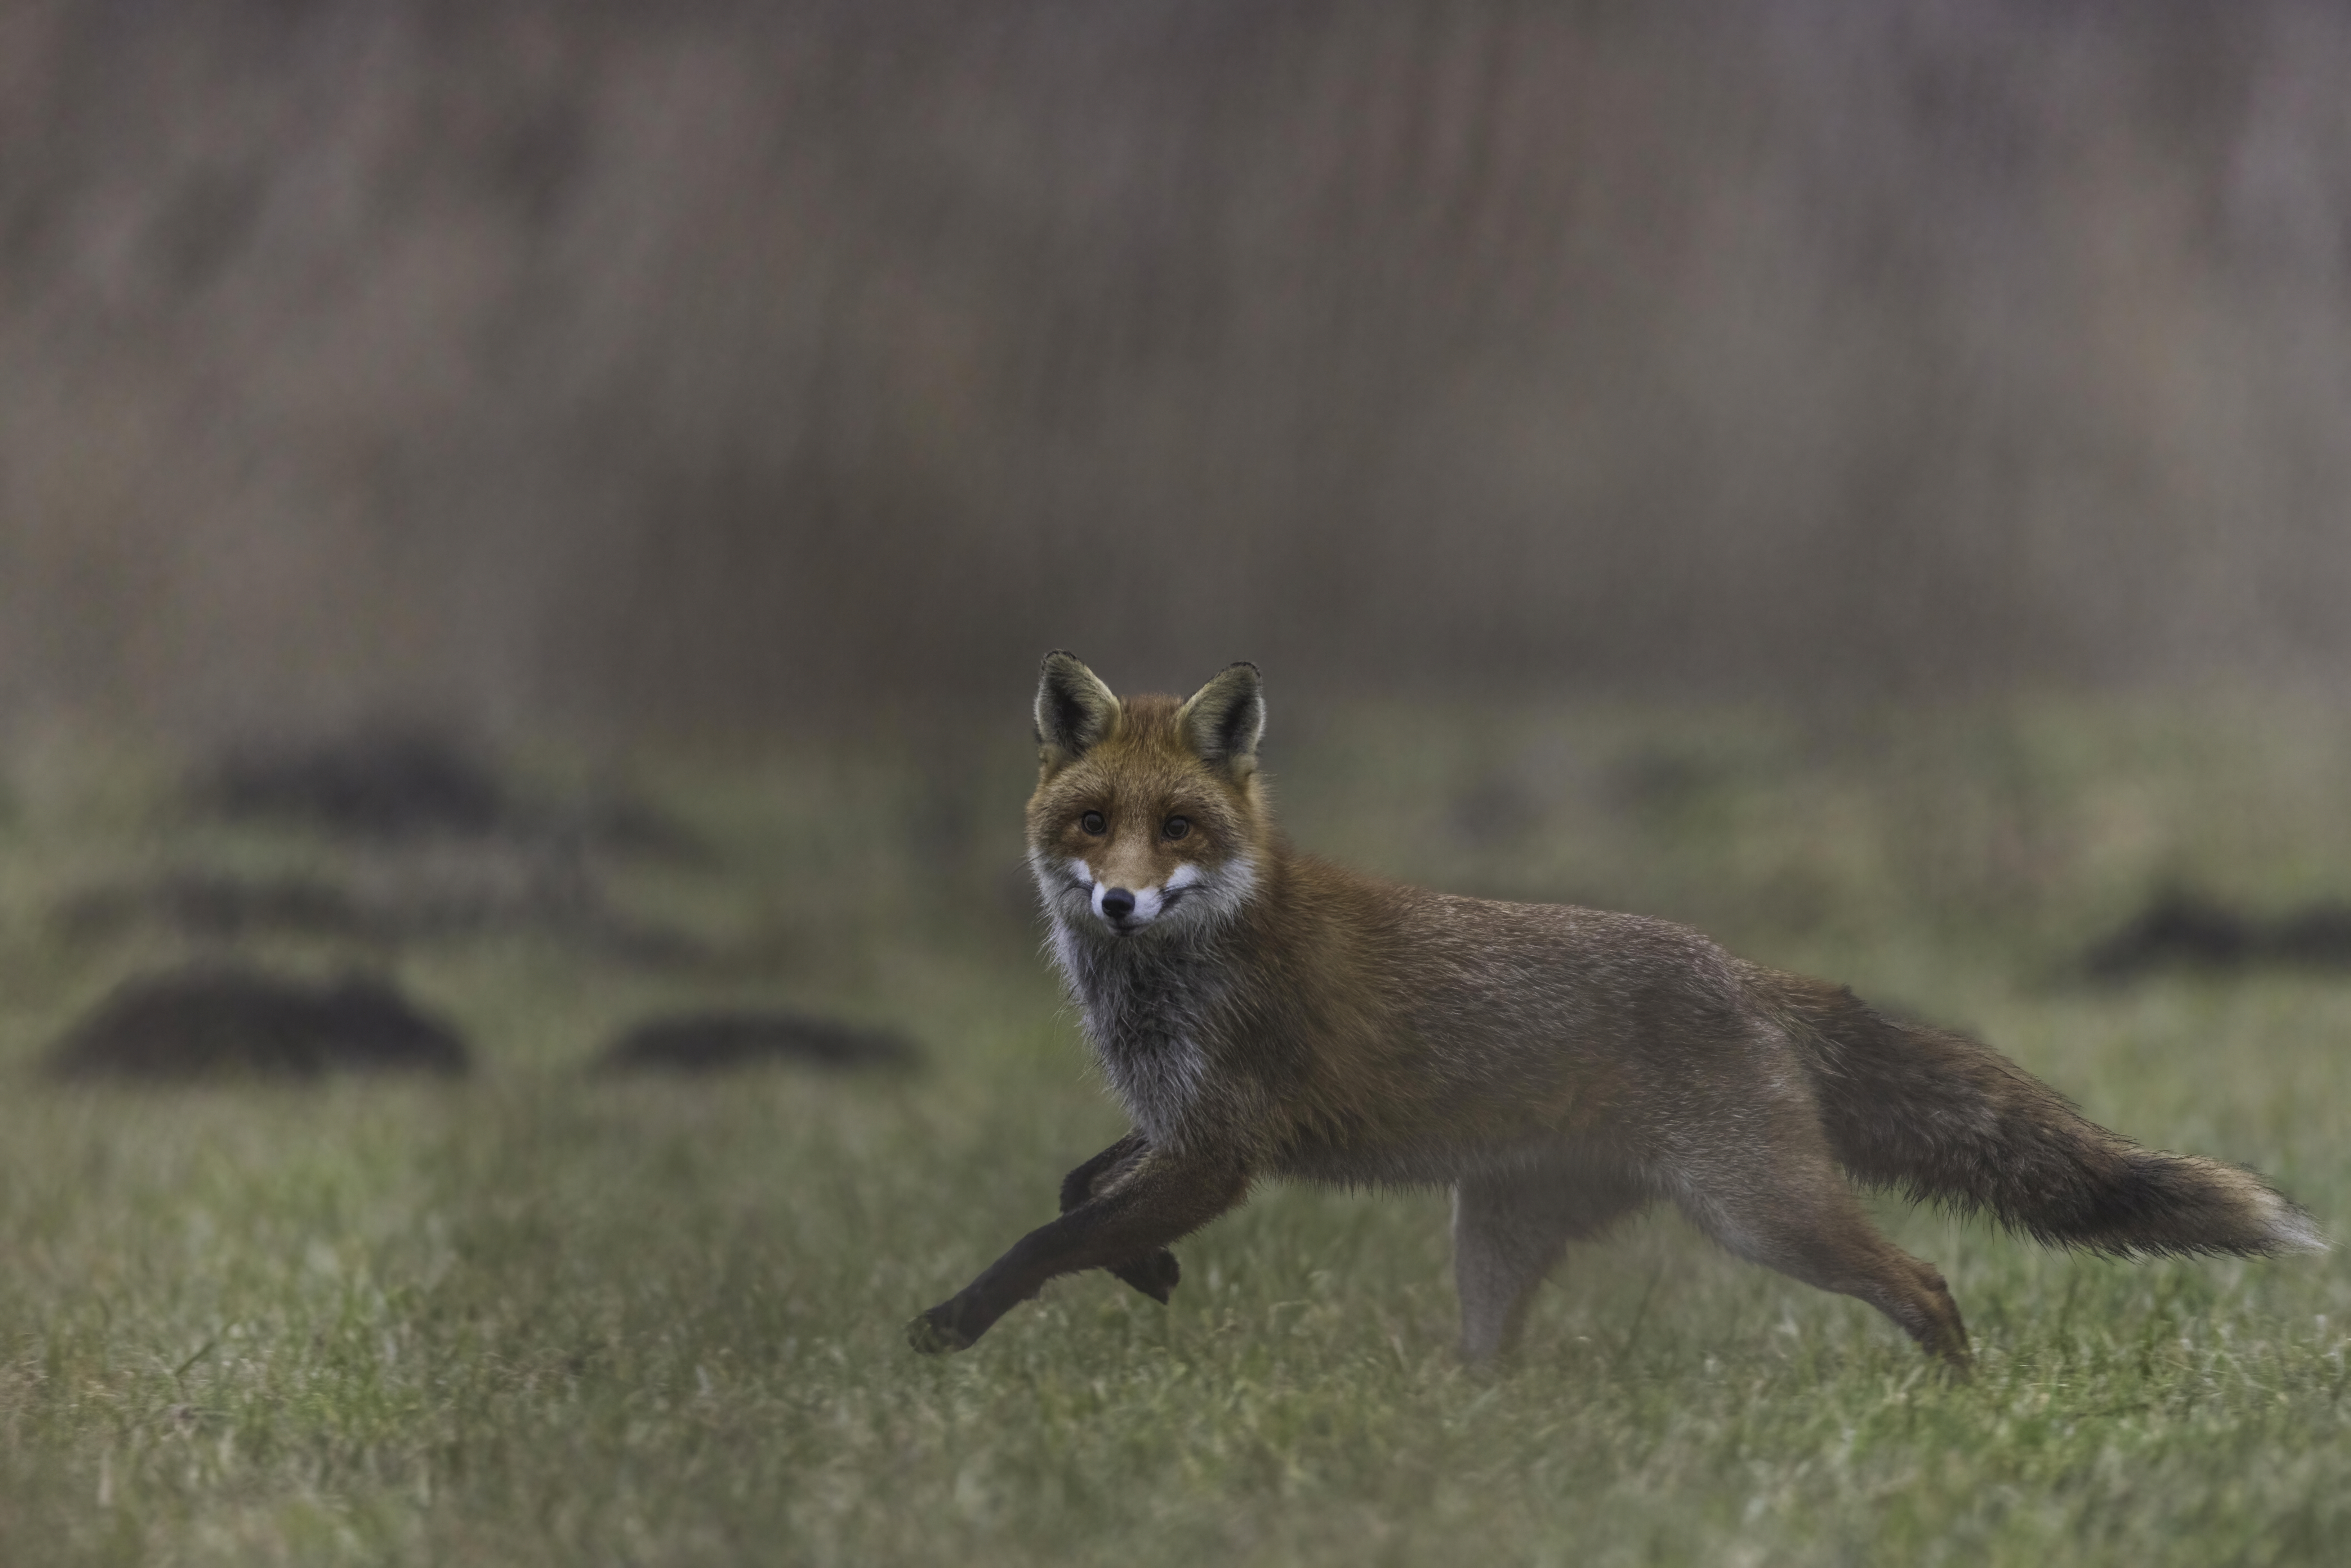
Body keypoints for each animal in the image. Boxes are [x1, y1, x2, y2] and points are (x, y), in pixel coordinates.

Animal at [907, 658, 2323, 1363]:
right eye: (1093, 821)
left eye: (1179, 829)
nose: (1120, 903)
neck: (1178, 969)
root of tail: (1745, 970)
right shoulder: (1184, 1129)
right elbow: (1074, 1188)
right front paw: (1142, 1266)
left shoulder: (1221, 1147)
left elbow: (1043, 1237)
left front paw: (952, 1323)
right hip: (1500, 1232)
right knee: (1494, 1363)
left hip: (1762, 1213)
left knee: (1923, 1281)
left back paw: (1956, 1403)